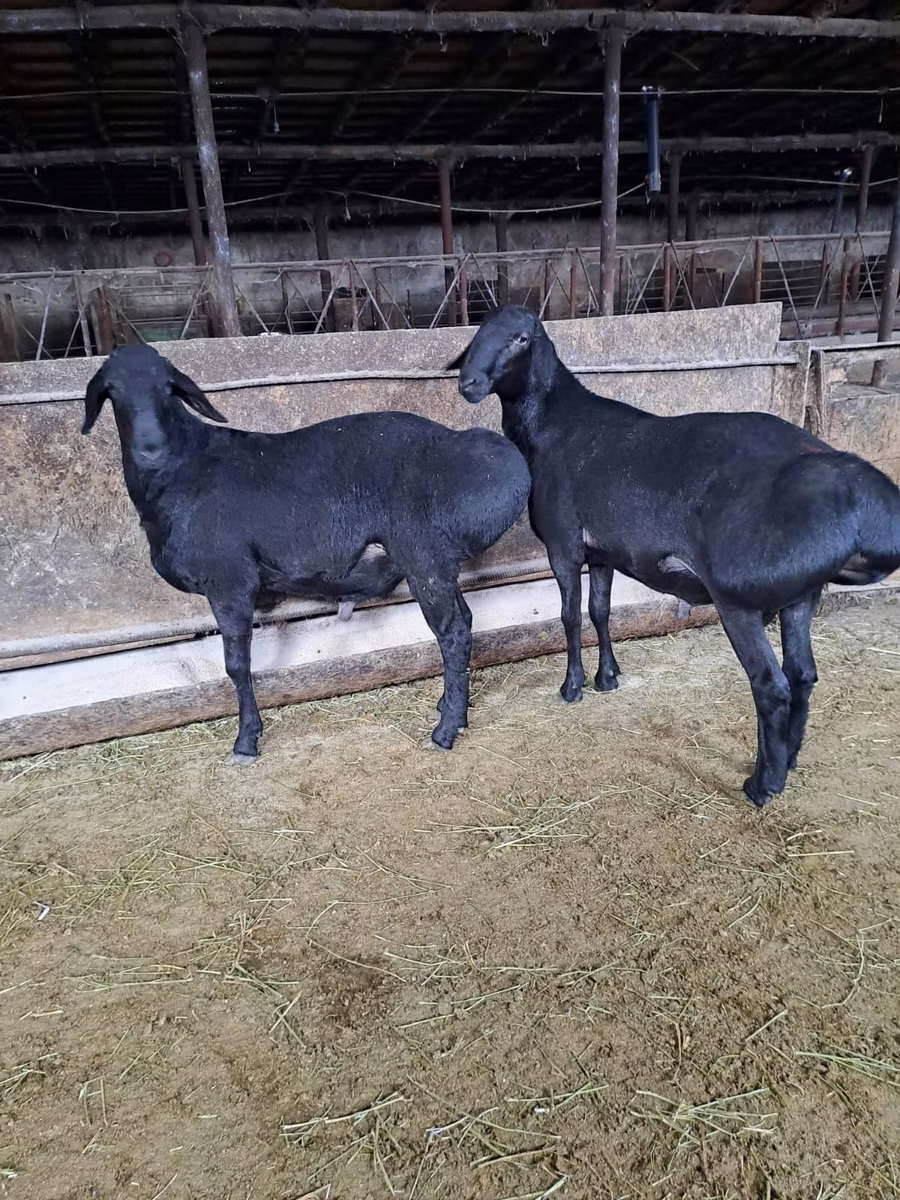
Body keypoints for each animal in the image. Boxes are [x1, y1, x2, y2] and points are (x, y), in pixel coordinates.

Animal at [82, 343, 531, 762]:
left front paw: (246, 741)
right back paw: (449, 706)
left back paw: (447, 729)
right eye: (113, 392)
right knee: (465, 622)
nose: (150, 449)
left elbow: (237, 665)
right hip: (438, 561)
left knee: (452, 633)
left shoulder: (229, 580)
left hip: (425, 555)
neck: (183, 470)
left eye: (167, 389)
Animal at [448, 305, 900, 807]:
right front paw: (608, 678)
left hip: (738, 596)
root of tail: (862, 503)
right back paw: (790, 759)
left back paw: (763, 784)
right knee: (802, 675)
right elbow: (600, 611)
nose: (467, 383)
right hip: (801, 592)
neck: (550, 424)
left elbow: (568, 615)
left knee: (771, 686)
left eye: (521, 338)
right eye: (475, 336)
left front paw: (572, 687)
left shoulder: (562, 543)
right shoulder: (601, 550)